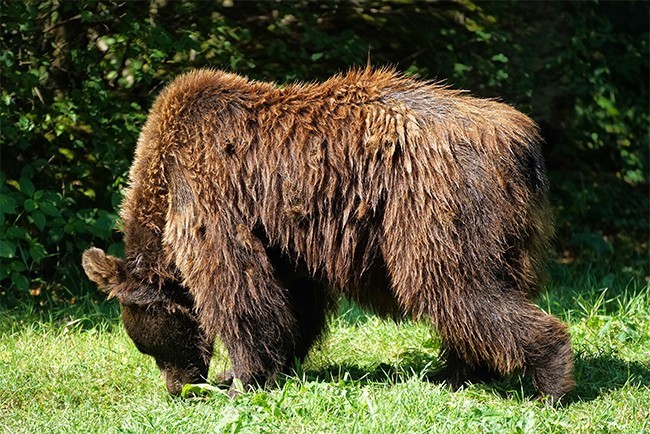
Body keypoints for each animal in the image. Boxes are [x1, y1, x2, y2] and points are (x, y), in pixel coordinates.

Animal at [82, 67, 572, 400]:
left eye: (148, 348)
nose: (178, 388)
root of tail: (520, 139)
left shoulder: (210, 195)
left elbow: (235, 287)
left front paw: (239, 378)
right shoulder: (282, 236)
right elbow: (291, 301)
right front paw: (267, 366)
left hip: (434, 204)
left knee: (454, 285)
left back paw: (552, 377)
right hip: (512, 230)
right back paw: (456, 372)